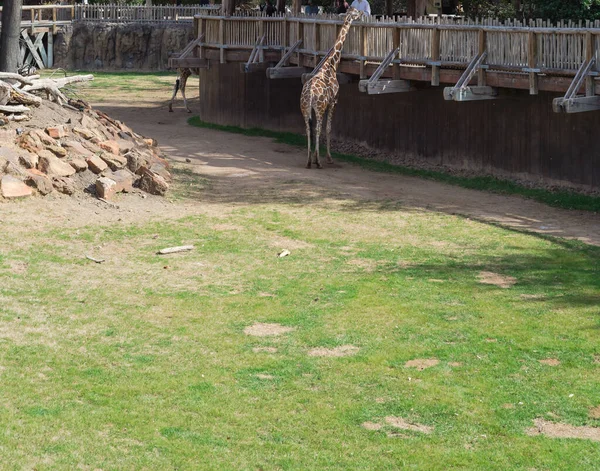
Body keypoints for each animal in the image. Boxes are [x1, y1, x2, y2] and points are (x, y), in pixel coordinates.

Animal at [298, 7, 360, 170]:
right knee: (318, 128)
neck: (331, 65)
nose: (361, 14)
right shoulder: (333, 102)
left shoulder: (326, 105)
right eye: (355, 11)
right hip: (318, 108)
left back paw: (308, 161)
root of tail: (309, 94)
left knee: (308, 129)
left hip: (305, 108)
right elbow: (328, 128)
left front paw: (315, 157)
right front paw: (329, 158)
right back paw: (318, 162)